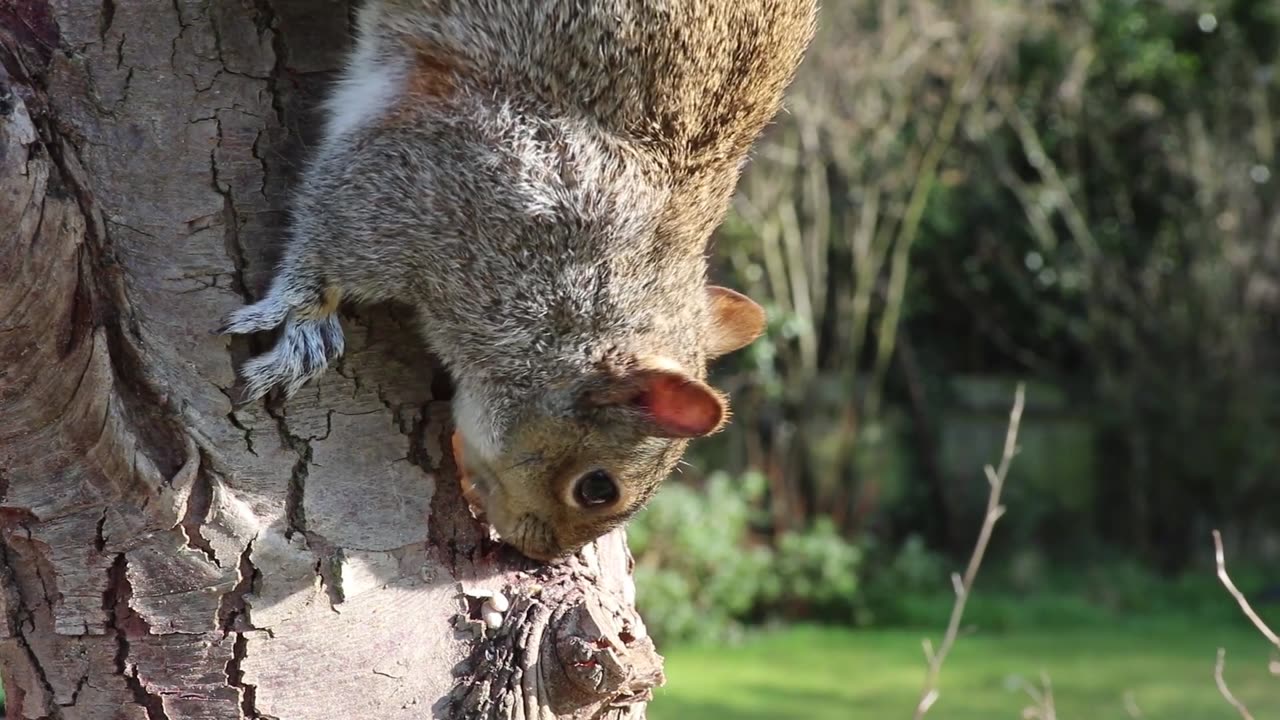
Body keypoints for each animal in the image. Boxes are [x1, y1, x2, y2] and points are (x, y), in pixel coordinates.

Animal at [217, 0, 819, 558]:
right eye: (597, 488)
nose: (540, 556)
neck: (580, 288)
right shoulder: (433, 183)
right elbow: (328, 241)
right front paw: (305, 325)